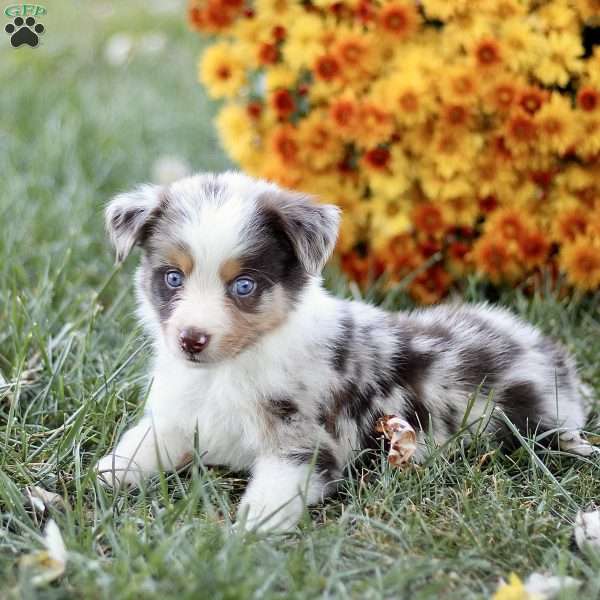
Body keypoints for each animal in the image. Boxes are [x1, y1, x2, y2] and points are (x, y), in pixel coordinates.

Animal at [94, 171, 596, 532]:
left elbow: (274, 491)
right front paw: (108, 473)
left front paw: (248, 532)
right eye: (172, 278)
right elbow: (141, 442)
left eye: (244, 286)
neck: (227, 370)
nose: (191, 339)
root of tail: (548, 351)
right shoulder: (180, 416)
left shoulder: (305, 443)